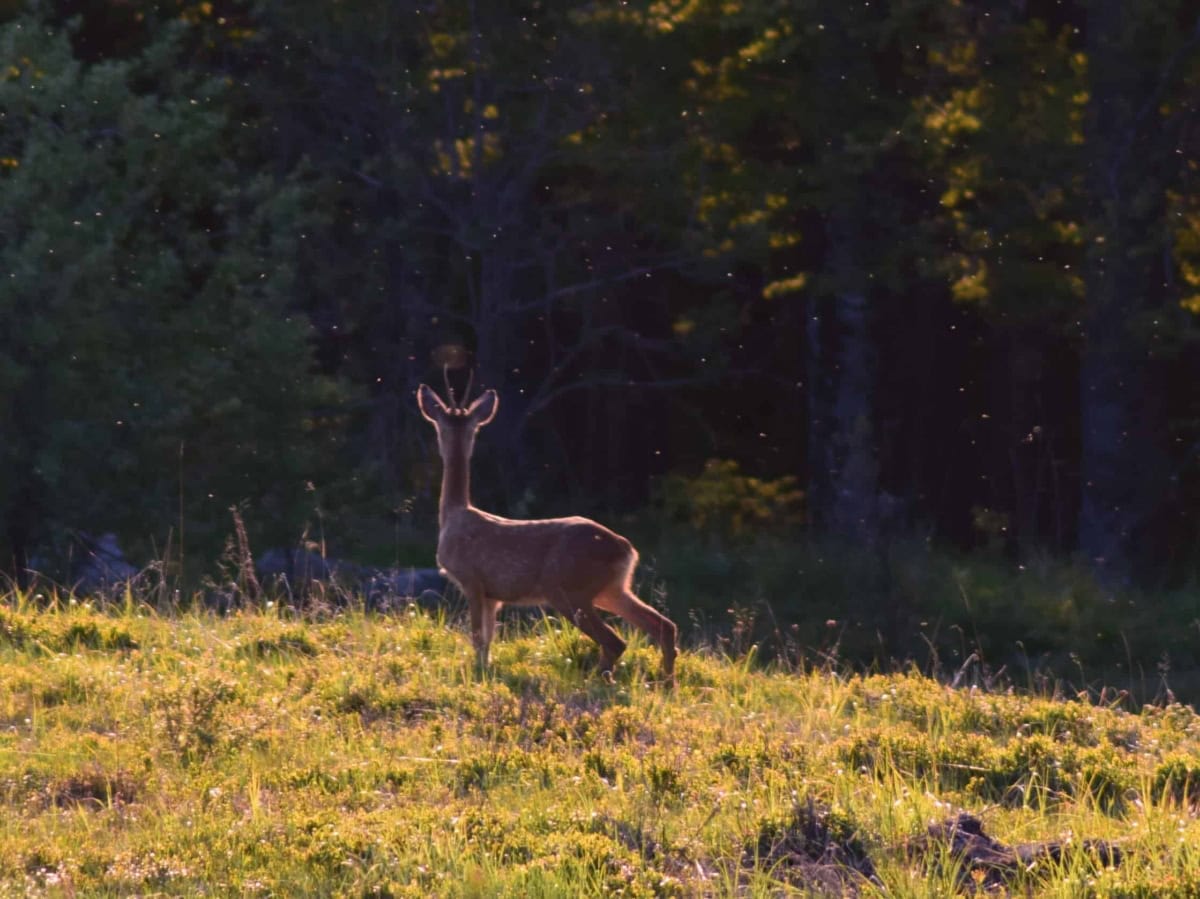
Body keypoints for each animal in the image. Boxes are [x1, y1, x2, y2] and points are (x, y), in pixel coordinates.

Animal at [417, 374, 677, 686]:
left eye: (438, 427)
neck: (454, 515)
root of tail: (627, 550)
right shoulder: (494, 594)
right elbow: (488, 638)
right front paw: (485, 670)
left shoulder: (472, 580)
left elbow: (478, 636)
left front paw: (479, 674)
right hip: (611, 589)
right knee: (663, 625)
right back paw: (666, 682)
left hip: (567, 589)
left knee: (616, 641)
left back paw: (601, 681)